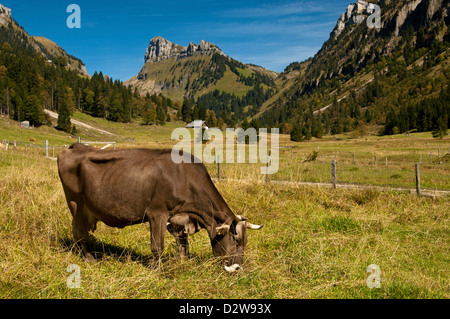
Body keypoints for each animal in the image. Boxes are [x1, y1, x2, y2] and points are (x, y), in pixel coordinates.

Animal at [58, 144, 266, 272]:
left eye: (245, 244)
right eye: (235, 241)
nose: (237, 269)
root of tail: (74, 146)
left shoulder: (180, 218)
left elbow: (183, 245)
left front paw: (183, 262)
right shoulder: (156, 213)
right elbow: (157, 246)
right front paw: (155, 270)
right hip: (76, 204)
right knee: (80, 233)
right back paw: (89, 258)